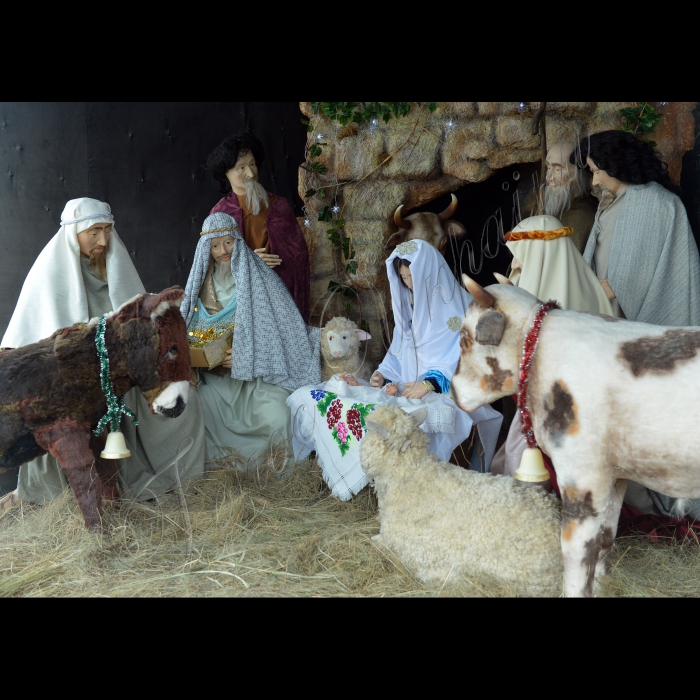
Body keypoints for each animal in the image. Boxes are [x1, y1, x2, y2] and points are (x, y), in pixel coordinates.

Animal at [448, 274, 700, 596]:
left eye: (465, 340)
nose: (452, 392)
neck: (537, 354)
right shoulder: (613, 478)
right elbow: (605, 542)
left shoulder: (581, 478)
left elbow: (577, 558)